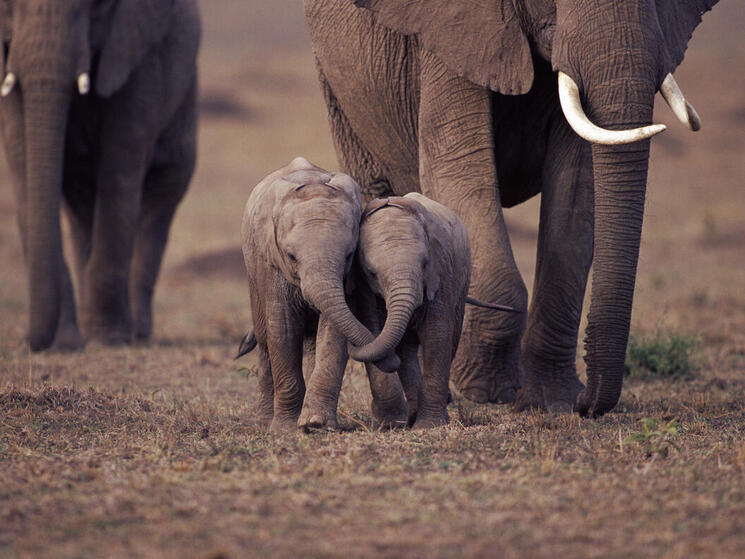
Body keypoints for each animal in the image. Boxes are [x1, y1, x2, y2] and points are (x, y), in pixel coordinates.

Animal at [0, 0, 201, 350]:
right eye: (10, 7)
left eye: (93, 6)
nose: (30, 343)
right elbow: (23, 166)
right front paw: (65, 343)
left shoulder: (136, 56)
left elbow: (119, 170)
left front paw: (109, 339)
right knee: (81, 205)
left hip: (186, 92)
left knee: (164, 193)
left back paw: (137, 332)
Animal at [350, 195, 516, 430]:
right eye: (372, 273)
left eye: (424, 264)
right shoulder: (365, 290)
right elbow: (374, 331)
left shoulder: (441, 273)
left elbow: (436, 336)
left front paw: (429, 426)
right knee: (406, 349)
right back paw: (412, 415)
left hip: (461, 282)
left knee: (450, 337)